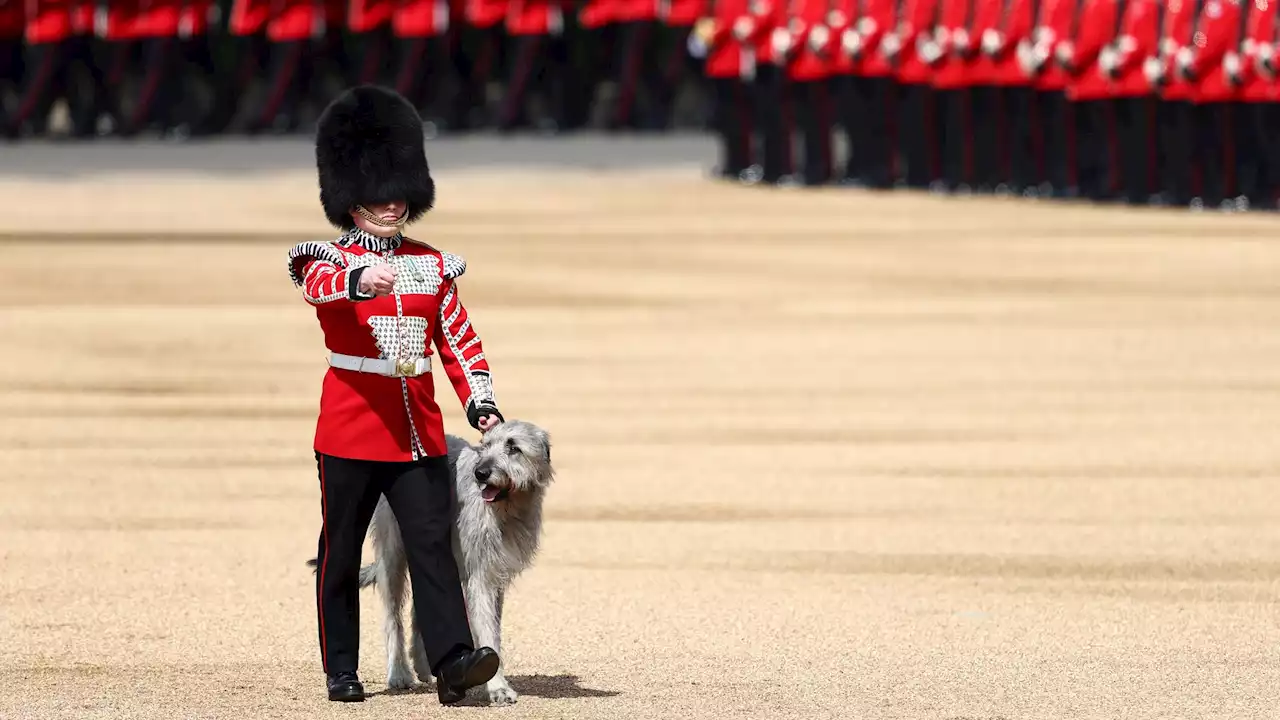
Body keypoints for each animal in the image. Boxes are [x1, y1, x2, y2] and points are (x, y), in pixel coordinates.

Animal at [348, 417, 552, 702]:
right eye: (486, 445)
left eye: (513, 448)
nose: (481, 473)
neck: (505, 509)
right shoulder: (480, 575)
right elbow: (488, 630)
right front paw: (497, 687)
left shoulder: (495, 574)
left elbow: (493, 625)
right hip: (393, 553)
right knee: (393, 614)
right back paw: (399, 672)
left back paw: (427, 667)